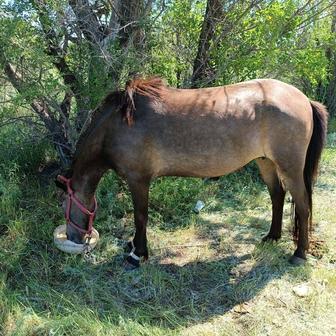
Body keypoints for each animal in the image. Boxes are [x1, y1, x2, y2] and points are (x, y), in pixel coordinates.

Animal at [55, 76, 328, 268]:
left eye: (65, 205)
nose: (73, 238)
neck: (117, 125)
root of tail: (305, 100)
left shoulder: (138, 180)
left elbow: (140, 217)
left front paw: (137, 253)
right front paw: (134, 246)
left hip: (290, 167)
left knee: (302, 205)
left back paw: (299, 253)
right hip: (266, 162)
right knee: (277, 196)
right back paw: (272, 237)